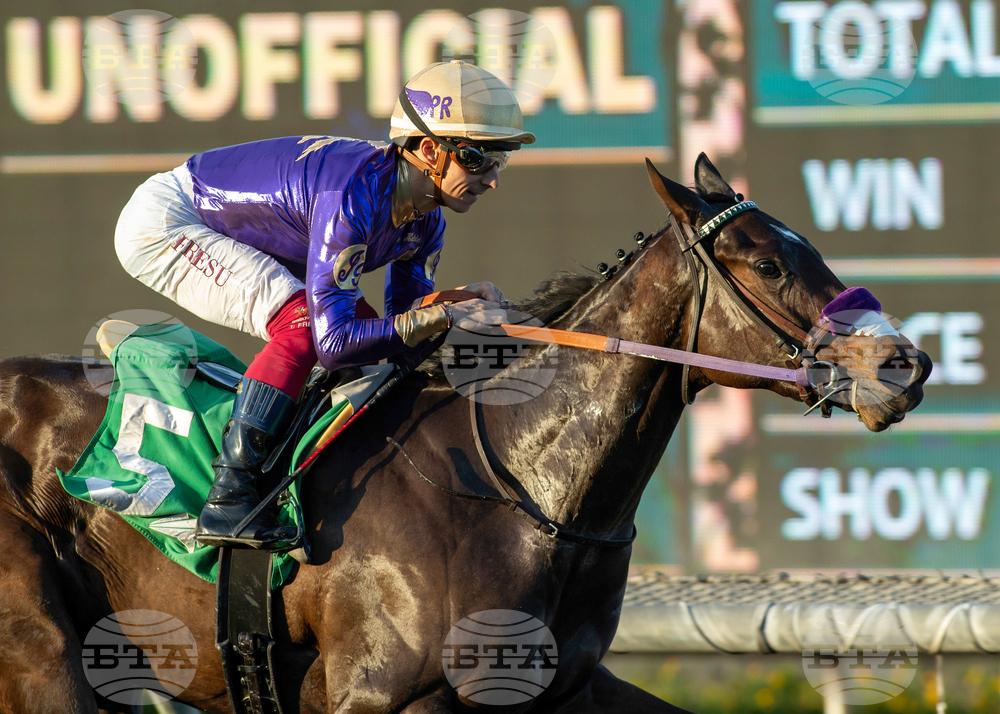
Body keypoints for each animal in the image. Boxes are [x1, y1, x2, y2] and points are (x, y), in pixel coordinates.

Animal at [0, 155, 930, 713]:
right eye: (767, 263)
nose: (905, 363)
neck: (521, 484)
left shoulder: (565, 688)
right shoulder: (376, 697)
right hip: (41, 654)